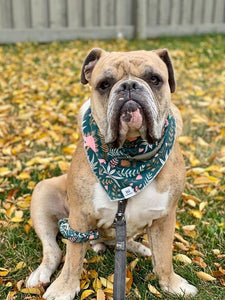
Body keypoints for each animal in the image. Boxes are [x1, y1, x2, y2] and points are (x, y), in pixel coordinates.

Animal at [27, 48, 198, 298]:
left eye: (154, 79)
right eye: (104, 84)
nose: (129, 86)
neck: (129, 158)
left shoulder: (165, 217)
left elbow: (164, 255)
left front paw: (172, 284)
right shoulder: (80, 216)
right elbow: (73, 257)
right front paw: (64, 288)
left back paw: (139, 247)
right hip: (43, 193)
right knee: (55, 249)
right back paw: (41, 274)